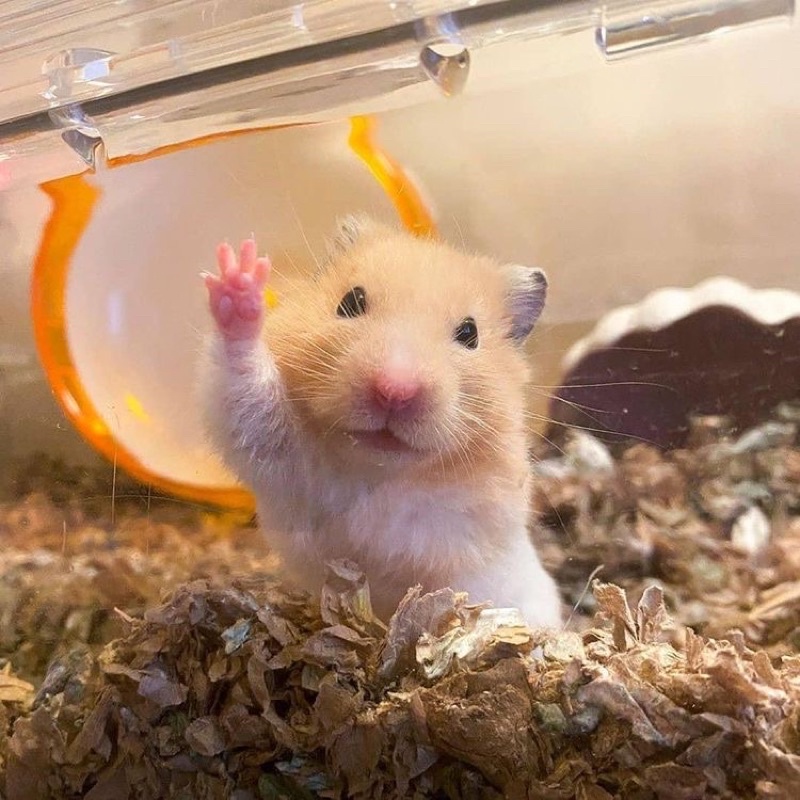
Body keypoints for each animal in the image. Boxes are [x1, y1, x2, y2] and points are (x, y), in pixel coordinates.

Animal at [199, 215, 563, 629]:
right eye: (351, 302)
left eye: (469, 333)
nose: (394, 391)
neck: (376, 467)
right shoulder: (285, 456)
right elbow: (248, 394)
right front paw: (240, 279)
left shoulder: (463, 520)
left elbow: (399, 536)